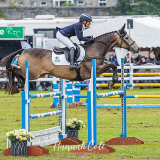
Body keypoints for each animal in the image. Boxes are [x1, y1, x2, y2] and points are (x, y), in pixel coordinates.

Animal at [0, 24, 139, 94]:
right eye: (127, 38)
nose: (137, 48)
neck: (94, 49)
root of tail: (24, 50)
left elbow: (112, 65)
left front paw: (112, 82)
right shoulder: (95, 69)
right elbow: (113, 65)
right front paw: (112, 82)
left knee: (16, 71)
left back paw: (19, 84)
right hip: (34, 73)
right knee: (13, 70)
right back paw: (18, 84)